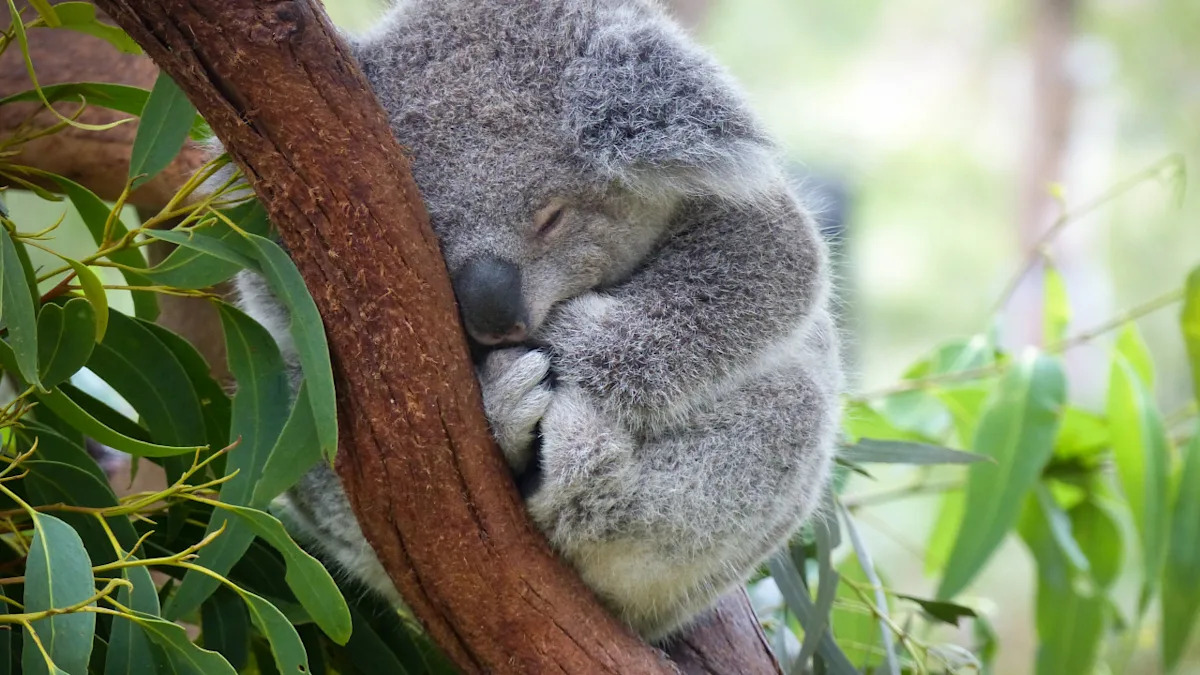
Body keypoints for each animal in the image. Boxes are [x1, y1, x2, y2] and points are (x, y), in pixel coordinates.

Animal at [234, 0, 842, 642]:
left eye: (551, 218)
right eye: (426, 228)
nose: (496, 317)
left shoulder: (733, 206)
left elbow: (772, 267)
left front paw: (562, 345)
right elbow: (273, 295)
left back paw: (577, 455)